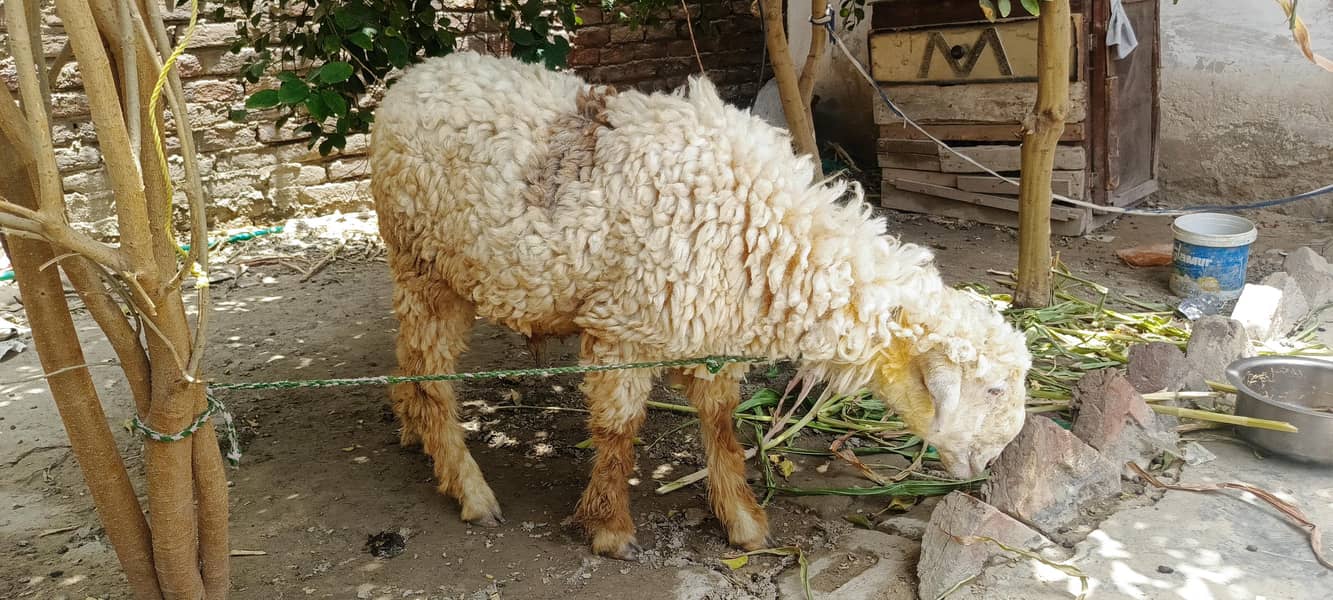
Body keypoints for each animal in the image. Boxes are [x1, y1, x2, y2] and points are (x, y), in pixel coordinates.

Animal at [369, 51, 1032, 560]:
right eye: (993, 389)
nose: (996, 461)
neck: (766, 230)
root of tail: (408, 80)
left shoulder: (712, 333)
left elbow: (720, 424)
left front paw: (741, 519)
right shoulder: (624, 328)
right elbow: (619, 432)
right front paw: (610, 528)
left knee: (409, 365)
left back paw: (412, 429)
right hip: (424, 267)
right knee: (431, 377)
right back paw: (469, 489)